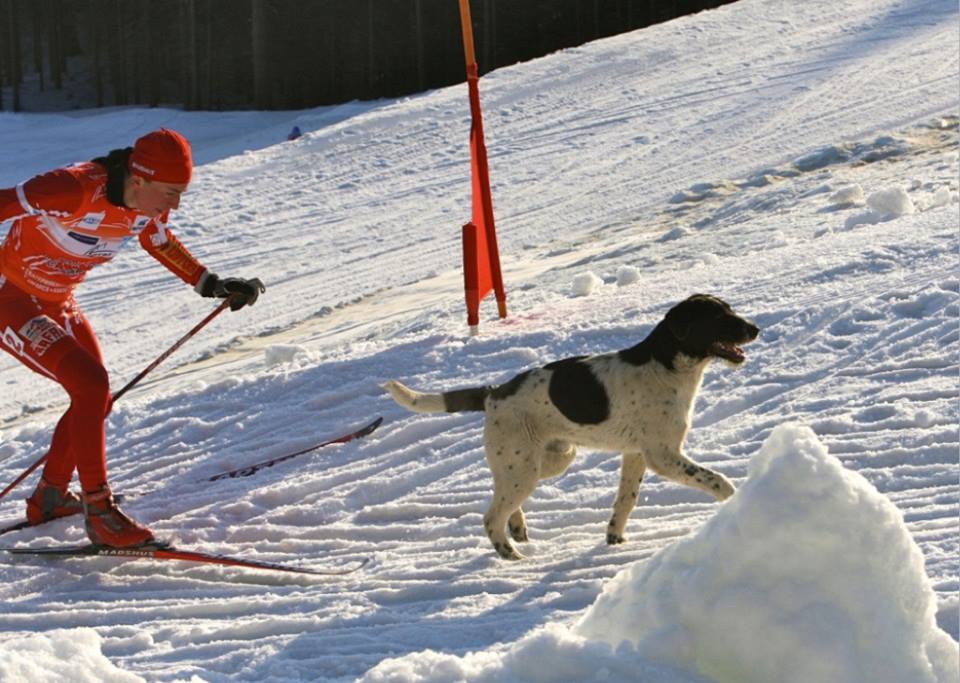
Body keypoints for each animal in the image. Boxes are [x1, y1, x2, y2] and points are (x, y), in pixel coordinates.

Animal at [382, 294, 756, 560]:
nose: (755, 328)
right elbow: (718, 480)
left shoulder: (635, 454)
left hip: (545, 461)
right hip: (525, 469)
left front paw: (614, 538)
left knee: (499, 496)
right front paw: (735, 503)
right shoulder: (662, 455)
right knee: (490, 517)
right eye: (717, 317)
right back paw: (509, 553)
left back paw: (517, 527)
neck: (667, 366)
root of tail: (493, 393)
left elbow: (626, 499)